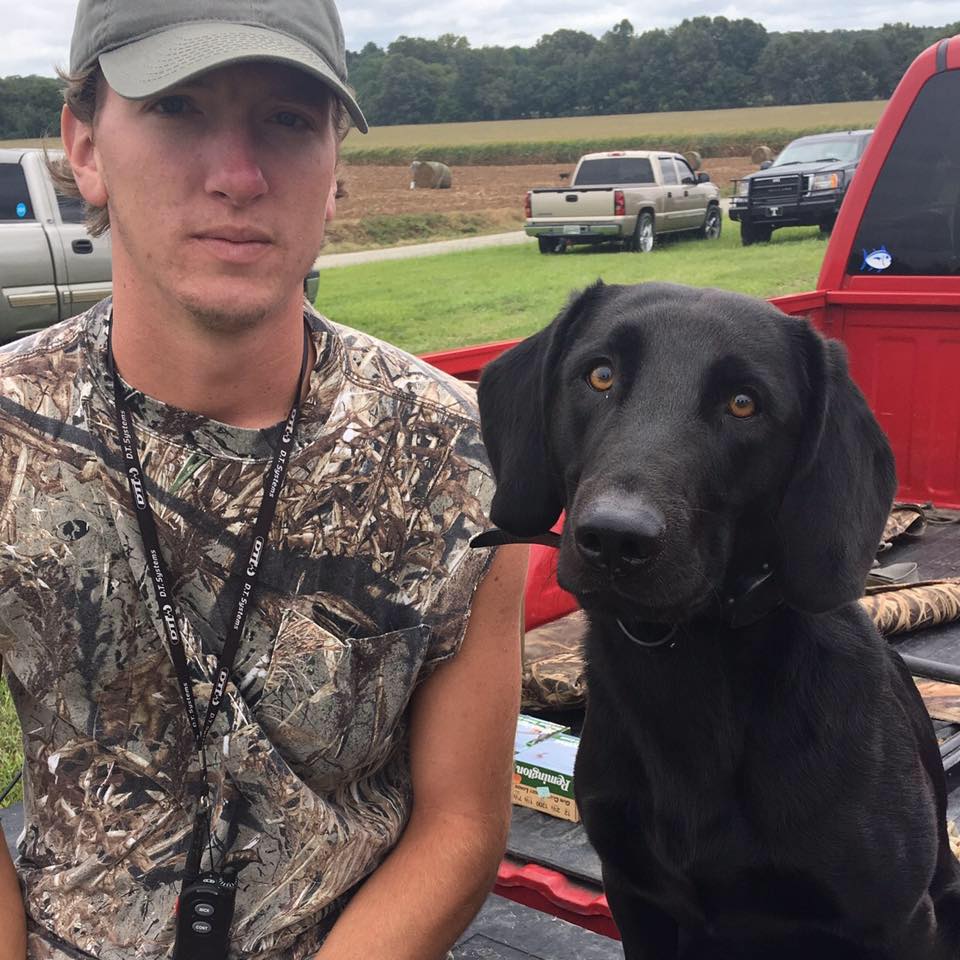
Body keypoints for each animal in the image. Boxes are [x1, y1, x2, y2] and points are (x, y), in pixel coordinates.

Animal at [484, 284, 960, 960]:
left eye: (744, 403)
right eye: (600, 375)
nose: (615, 539)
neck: (688, 666)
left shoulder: (896, 919)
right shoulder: (635, 895)